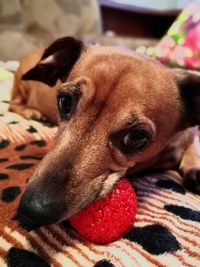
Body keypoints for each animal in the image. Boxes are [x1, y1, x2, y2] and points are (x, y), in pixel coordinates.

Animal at [10, 37, 200, 230]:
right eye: (65, 102)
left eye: (136, 137)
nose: (30, 211)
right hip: (21, 85)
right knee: (13, 104)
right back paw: (30, 112)